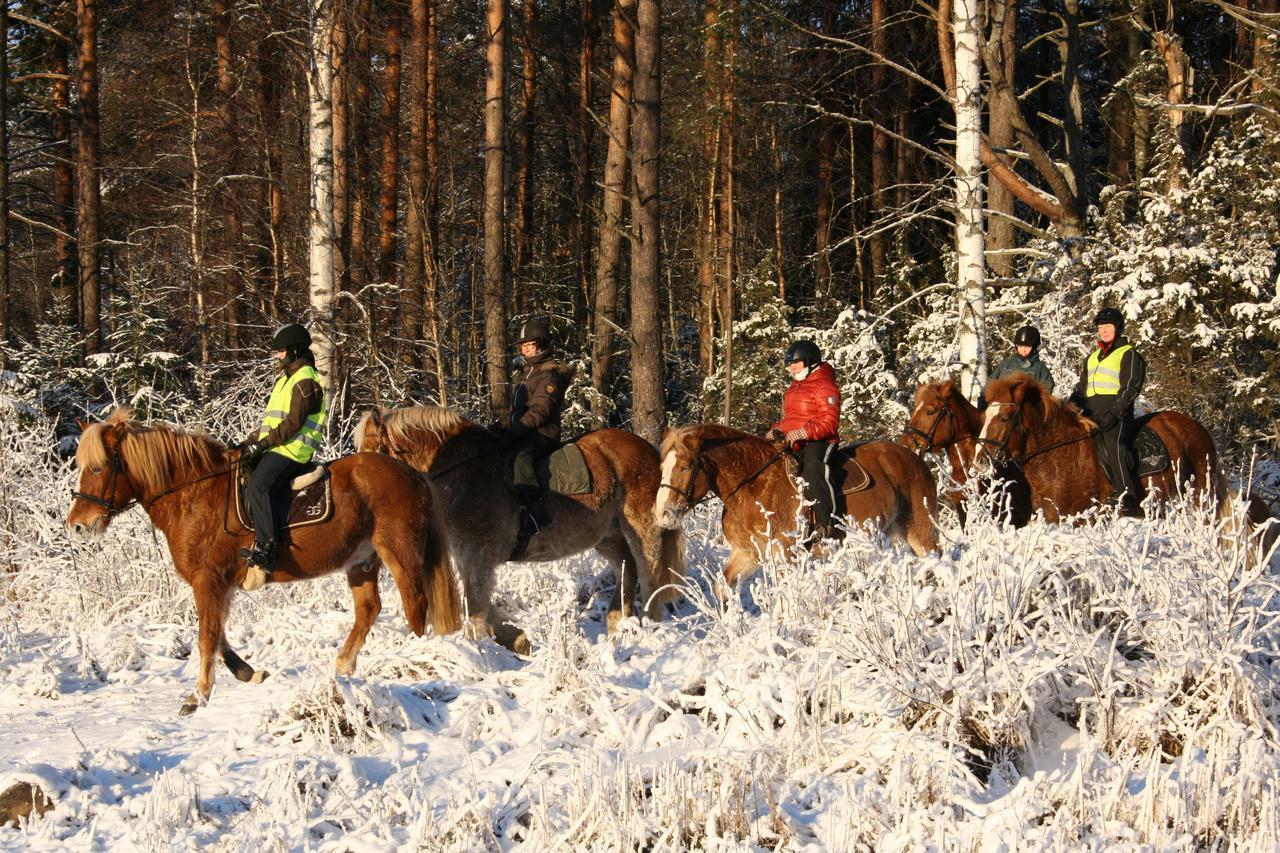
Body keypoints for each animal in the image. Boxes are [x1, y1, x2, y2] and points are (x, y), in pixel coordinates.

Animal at [64, 404, 463, 712]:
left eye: (98, 468)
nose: (78, 525)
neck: (194, 496)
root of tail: (412, 474)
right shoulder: (218, 585)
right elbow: (219, 637)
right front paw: (249, 673)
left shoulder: (207, 580)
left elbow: (207, 637)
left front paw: (197, 697)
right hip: (361, 560)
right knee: (369, 609)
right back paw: (344, 666)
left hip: (399, 552)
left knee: (415, 604)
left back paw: (409, 657)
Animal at [353, 409, 691, 640]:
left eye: (375, 451)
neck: (463, 472)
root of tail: (650, 451)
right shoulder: (469, 559)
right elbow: (480, 607)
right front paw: (513, 640)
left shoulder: (478, 556)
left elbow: (475, 607)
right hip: (606, 535)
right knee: (626, 568)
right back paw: (618, 624)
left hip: (641, 528)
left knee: (648, 574)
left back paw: (650, 626)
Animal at [655, 420, 936, 591]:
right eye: (662, 466)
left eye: (685, 466)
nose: (662, 514)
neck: (754, 486)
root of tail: (914, 458)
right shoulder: (748, 553)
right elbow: (723, 587)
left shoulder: (786, 556)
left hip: (922, 532)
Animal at [972, 376, 1223, 522]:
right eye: (984, 416)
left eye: (1005, 418)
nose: (979, 461)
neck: (1059, 457)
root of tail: (1196, 427)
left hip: (1201, 499)